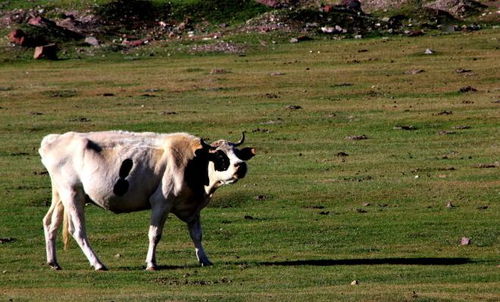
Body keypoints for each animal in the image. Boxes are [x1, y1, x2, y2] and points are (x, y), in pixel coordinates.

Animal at [39, 131, 256, 270]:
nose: (241, 165)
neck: (191, 162)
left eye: (238, 153)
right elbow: (155, 235)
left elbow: (197, 235)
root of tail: (53, 140)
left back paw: (53, 262)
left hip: (61, 196)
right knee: (78, 231)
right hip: (73, 195)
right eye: (220, 156)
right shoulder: (161, 203)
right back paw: (98, 264)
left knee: (50, 223)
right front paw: (151, 263)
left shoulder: (193, 207)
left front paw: (204, 259)